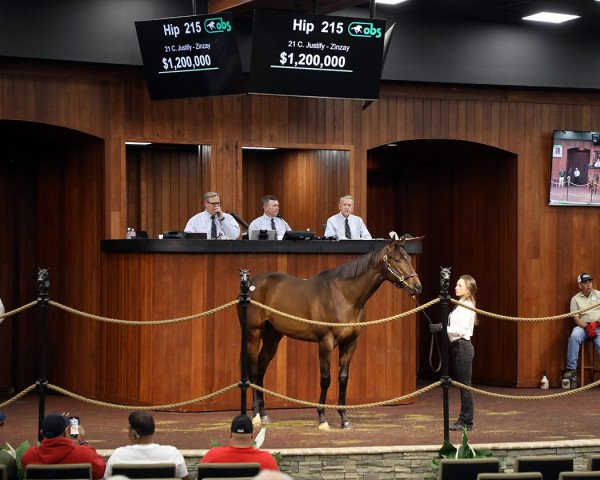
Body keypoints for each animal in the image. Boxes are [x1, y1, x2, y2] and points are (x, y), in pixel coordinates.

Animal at [240, 236, 422, 428]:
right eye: (397, 260)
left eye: (409, 259)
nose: (417, 287)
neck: (344, 296)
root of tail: (250, 284)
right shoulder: (325, 342)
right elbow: (326, 379)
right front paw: (322, 418)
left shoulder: (350, 343)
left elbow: (343, 378)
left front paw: (344, 419)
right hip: (253, 333)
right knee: (253, 369)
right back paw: (255, 415)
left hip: (273, 335)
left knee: (261, 366)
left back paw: (264, 414)